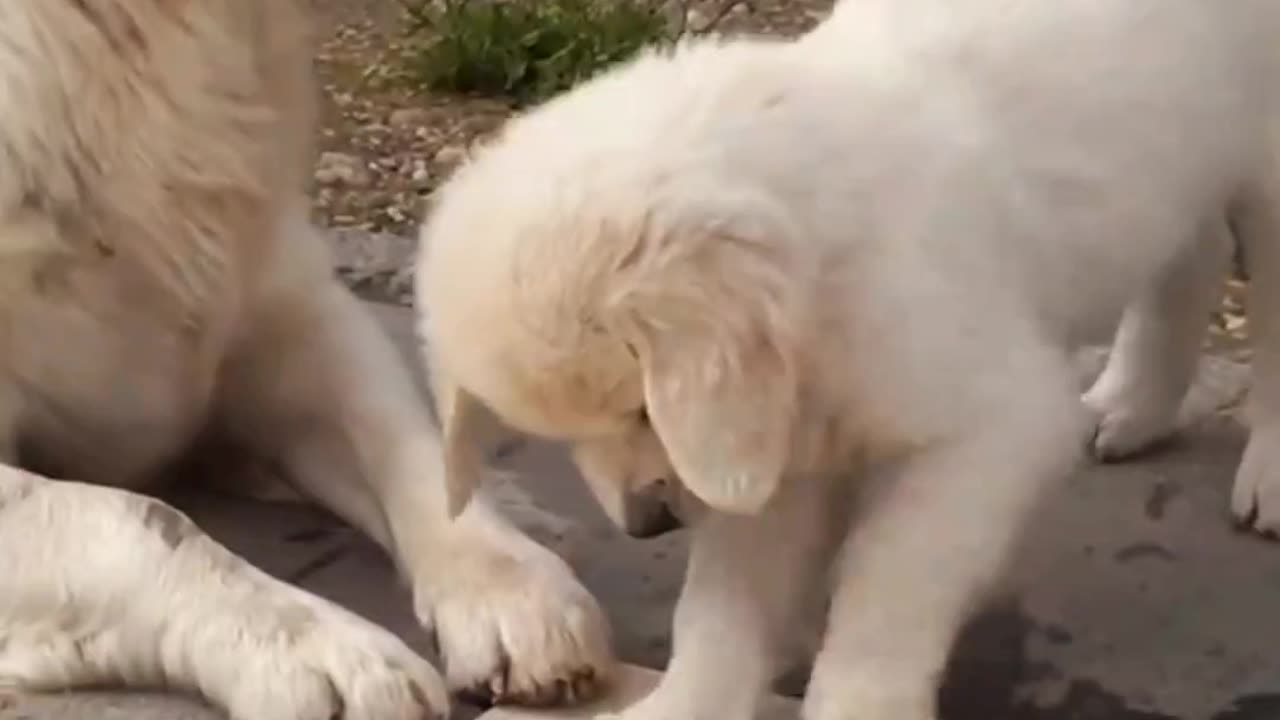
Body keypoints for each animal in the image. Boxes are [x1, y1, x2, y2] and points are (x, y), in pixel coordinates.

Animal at [417, 1, 1280, 717]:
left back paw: (1267, 475)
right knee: (1193, 250)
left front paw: (860, 701)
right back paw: (1131, 405)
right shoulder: (760, 461)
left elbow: (886, 590)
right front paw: (685, 703)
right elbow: (723, 606)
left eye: (638, 407)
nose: (645, 524)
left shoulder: (988, 430)